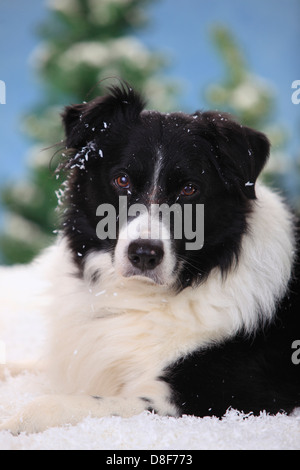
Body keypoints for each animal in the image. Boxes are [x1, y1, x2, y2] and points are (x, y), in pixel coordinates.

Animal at [0, 83, 300, 434]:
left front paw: (15, 421)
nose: (144, 254)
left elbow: (58, 405)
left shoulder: (215, 396)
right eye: (122, 180)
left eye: (189, 189)